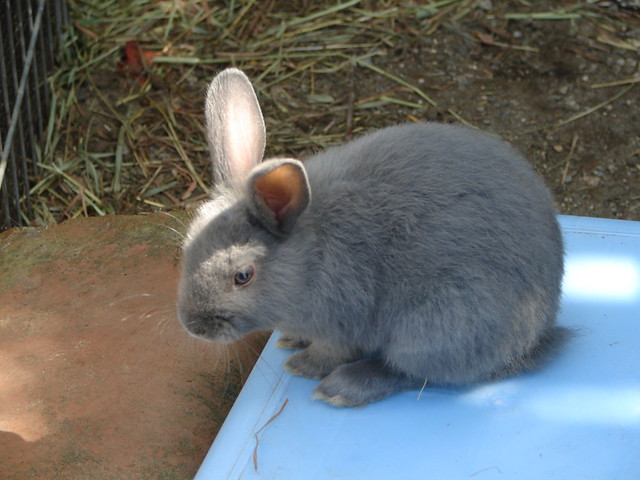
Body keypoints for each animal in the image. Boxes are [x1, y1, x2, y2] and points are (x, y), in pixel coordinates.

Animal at [177, 67, 567, 407]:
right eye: (186, 248)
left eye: (243, 276)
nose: (193, 327)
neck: (310, 255)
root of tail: (539, 329)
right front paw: (289, 339)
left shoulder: (339, 327)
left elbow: (327, 354)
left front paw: (300, 366)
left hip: (436, 325)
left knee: (411, 372)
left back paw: (341, 389)